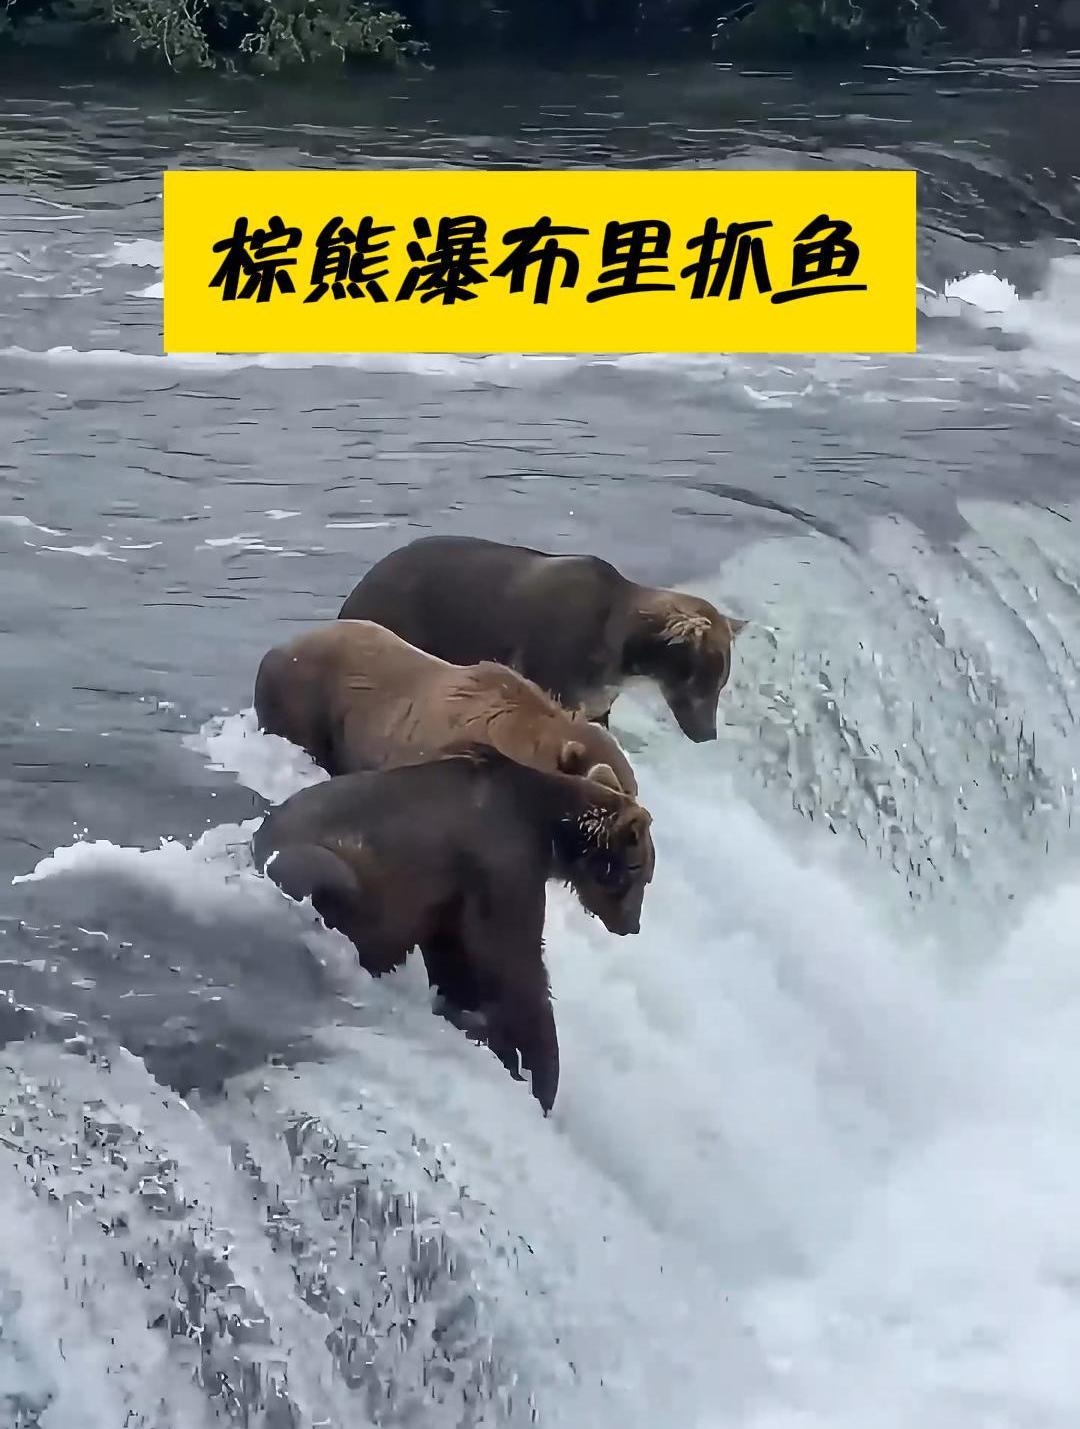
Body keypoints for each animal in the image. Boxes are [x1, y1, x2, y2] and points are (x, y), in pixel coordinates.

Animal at [251, 744, 656, 1114]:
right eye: (642, 872)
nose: (633, 925)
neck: (549, 829)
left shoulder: (451, 900)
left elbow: (460, 963)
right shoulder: (502, 865)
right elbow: (514, 967)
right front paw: (535, 1072)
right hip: (335, 867)